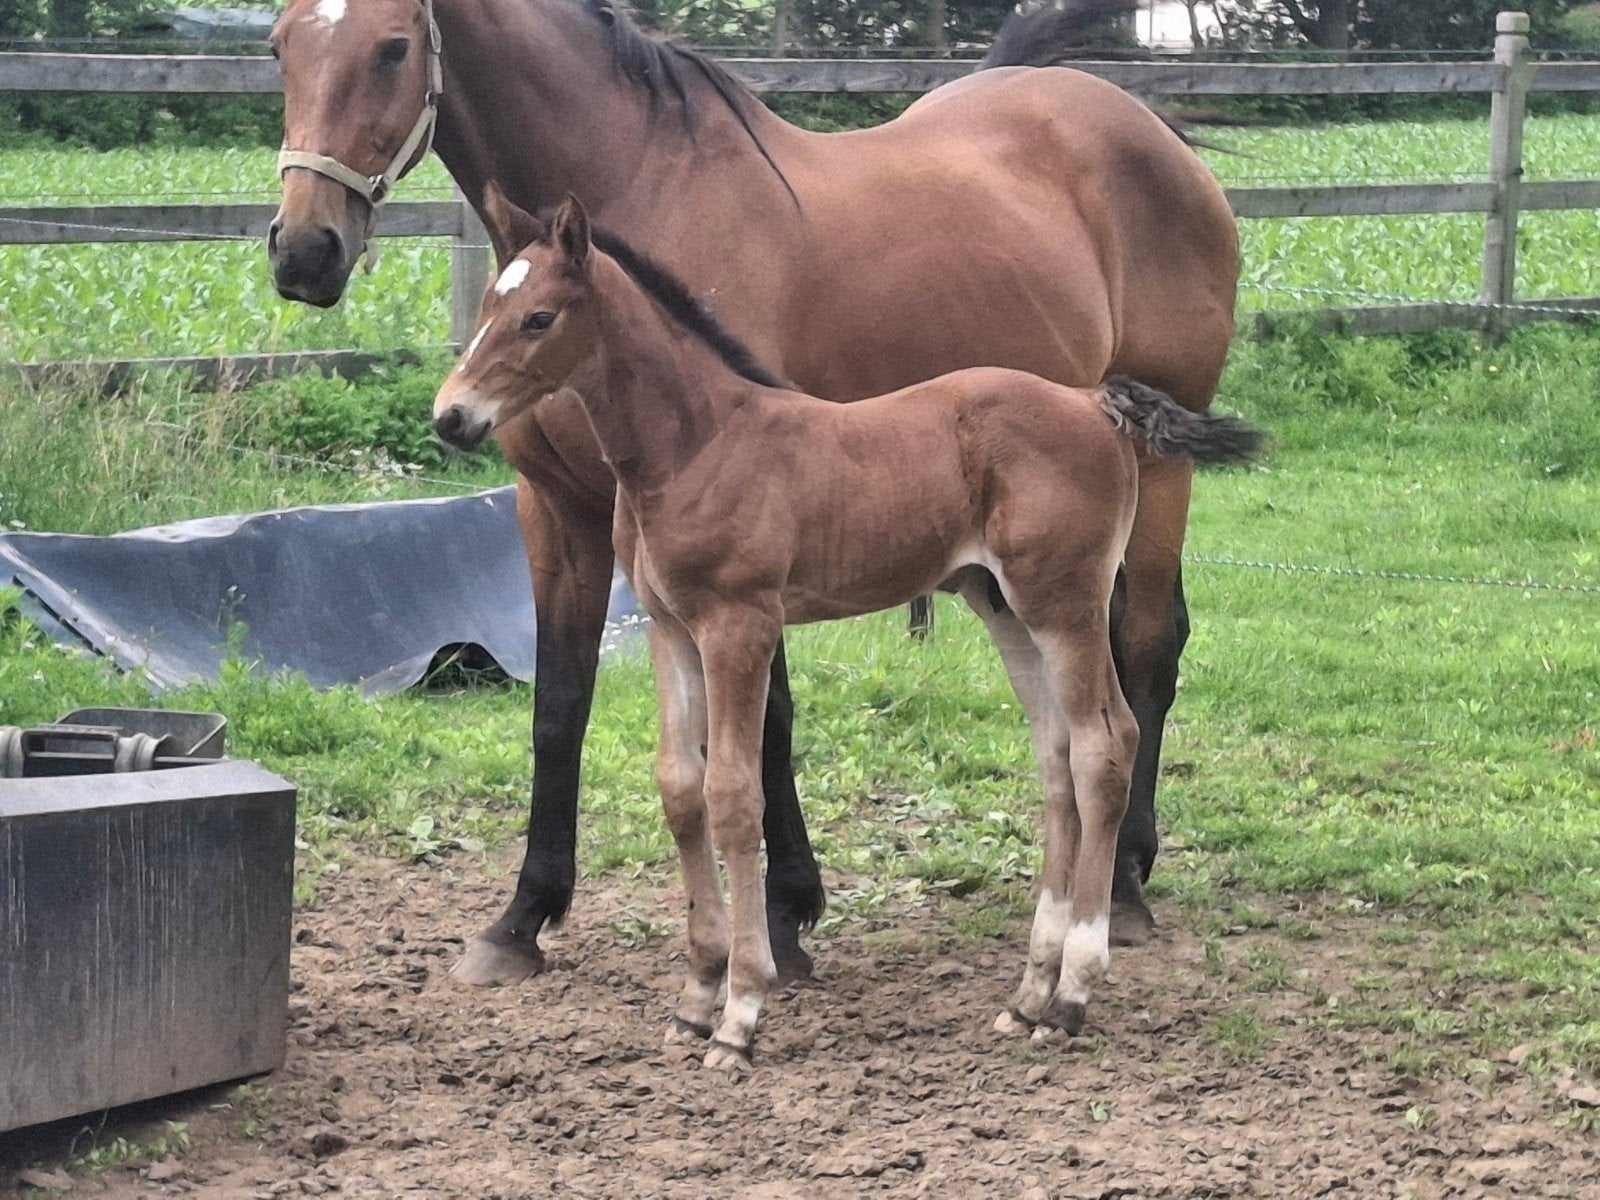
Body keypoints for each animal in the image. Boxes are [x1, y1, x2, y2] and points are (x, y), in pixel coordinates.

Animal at [267, 0, 1239, 987]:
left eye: (393, 47)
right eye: (278, 44)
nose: (305, 251)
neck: (641, 188)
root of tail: (1141, 125)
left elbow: (767, 717)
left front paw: (783, 915)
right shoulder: (559, 509)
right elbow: (558, 706)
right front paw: (522, 917)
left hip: (1162, 467)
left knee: (1146, 643)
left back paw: (1123, 885)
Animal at [432, 189, 1261, 1070]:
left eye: (539, 318)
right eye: (485, 311)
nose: (451, 416)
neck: (699, 445)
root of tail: (1092, 402)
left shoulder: (739, 624)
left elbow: (733, 796)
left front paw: (741, 1013)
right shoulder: (669, 628)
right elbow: (680, 790)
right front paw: (693, 1000)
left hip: (1062, 601)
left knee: (1105, 745)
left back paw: (1071, 993)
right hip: (1001, 603)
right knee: (1057, 755)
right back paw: (1028, 994)